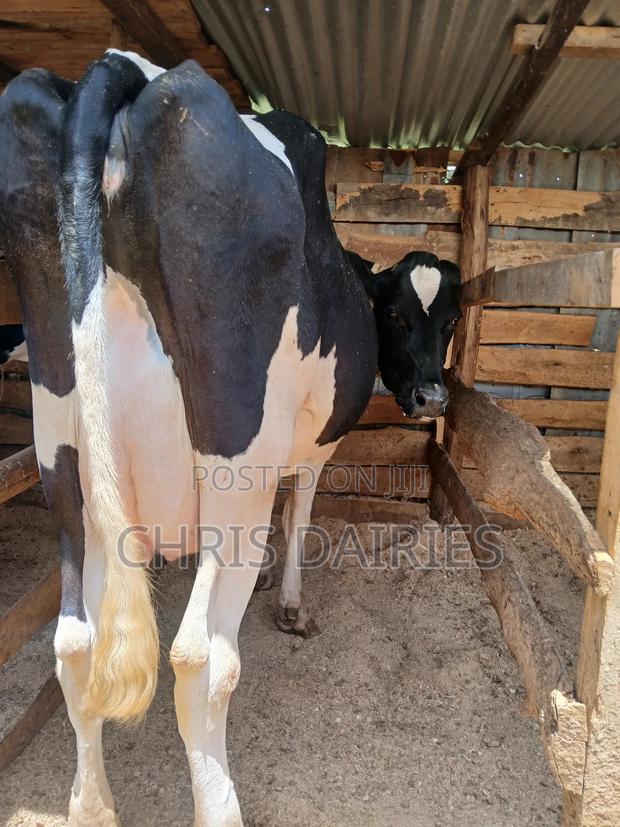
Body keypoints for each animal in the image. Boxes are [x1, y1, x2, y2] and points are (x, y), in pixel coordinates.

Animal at [0, 51, 460, 826]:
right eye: (399, 317)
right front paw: (291, 601)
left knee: (75, 641)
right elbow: (298, 511)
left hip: (62, 455)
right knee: (200, 657)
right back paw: (219, 802)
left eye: (450, 320)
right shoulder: (309, 450)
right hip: (231, 471)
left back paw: (91, 805)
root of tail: (122, 68)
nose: (431, 397)